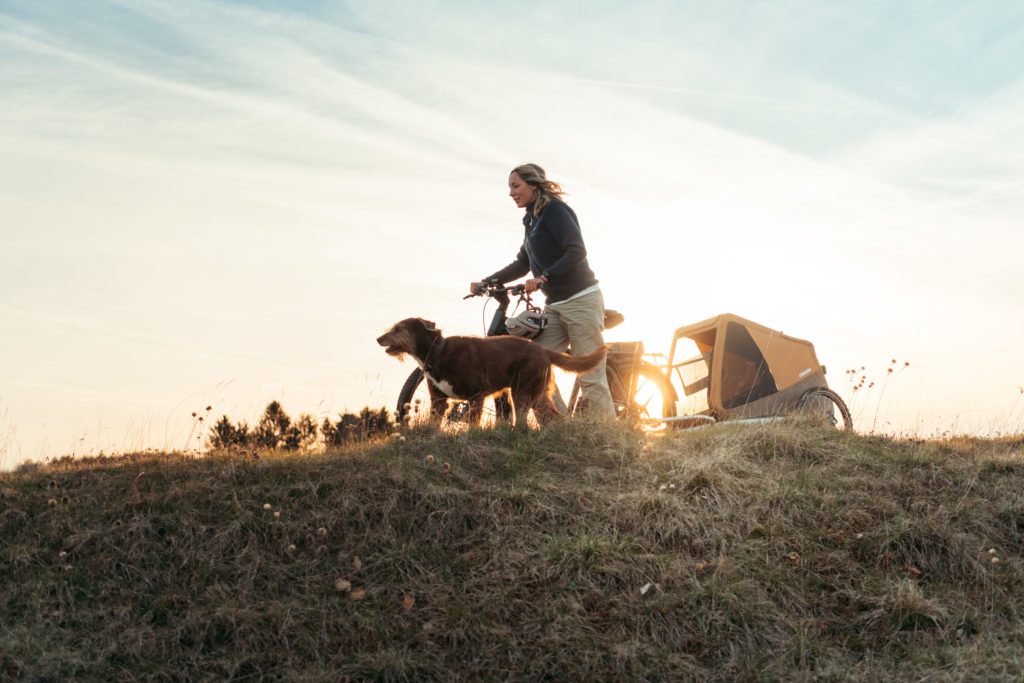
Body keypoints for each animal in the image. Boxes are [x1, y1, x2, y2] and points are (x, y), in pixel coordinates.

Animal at [378, 317, 606, 423]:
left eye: (399, 329)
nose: (378, 339)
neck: (438, 351)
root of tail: (543, 349)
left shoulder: (476, 396)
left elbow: (472, 423)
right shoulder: (439, 400)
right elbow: (434, 424)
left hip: (521, 393)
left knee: (522, 420)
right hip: (537, 395)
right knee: (552, 416)